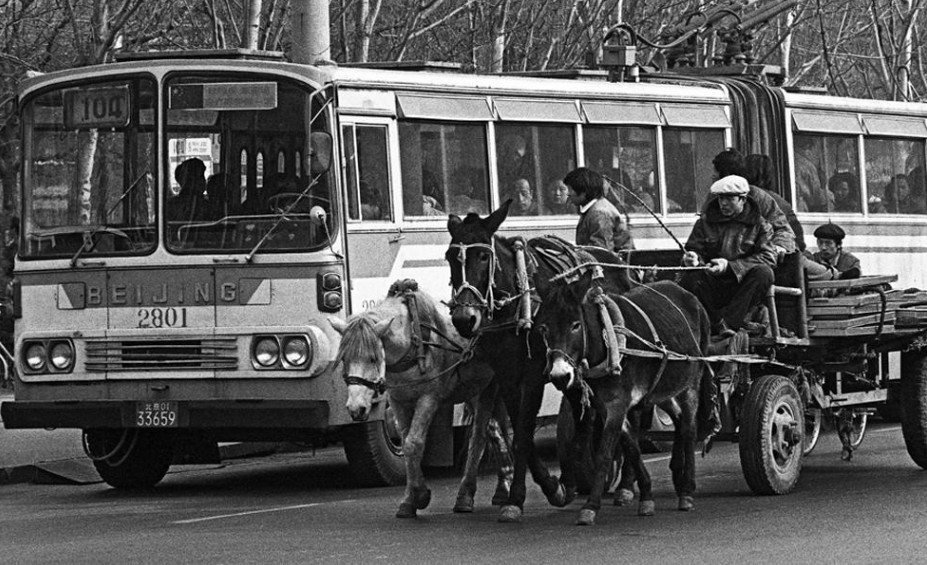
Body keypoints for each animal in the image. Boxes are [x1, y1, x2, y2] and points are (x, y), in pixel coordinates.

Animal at [328, 278, 516, 516]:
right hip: (477, 390)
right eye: (344, 359)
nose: (356, 408)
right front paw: (411, 498)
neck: (412, 341)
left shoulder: (428, 398)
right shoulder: (399, 401)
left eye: (372, 358)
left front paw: (419, 495)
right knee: (497, 433)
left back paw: (468, 494)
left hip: (492, 387)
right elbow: (407, 442)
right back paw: (502, 487)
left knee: (483, 437)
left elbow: (413, 443)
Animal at [446, 198, 636, 520]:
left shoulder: (535, 375)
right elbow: (517, 432)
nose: (463, 318)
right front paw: (548, 487)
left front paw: (524, 494)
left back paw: (624, 485)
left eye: (484, 256)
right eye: (449, 257)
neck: (518, 307)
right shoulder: (508, 377)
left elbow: (522, 432)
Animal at [532, 278, 716, 524]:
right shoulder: (605, 405)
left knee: (689, 430)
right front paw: (645, 497)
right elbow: (632, 447)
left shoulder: (617, 405)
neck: (607, 343)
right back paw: (677, 476)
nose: (560, 376)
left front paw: (591, 506)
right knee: (678, 420)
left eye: (575, 325)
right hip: (663, 390)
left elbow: (605, 453)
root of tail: (686, 293)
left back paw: (687, 490)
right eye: (543, 328)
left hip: (691, 383)